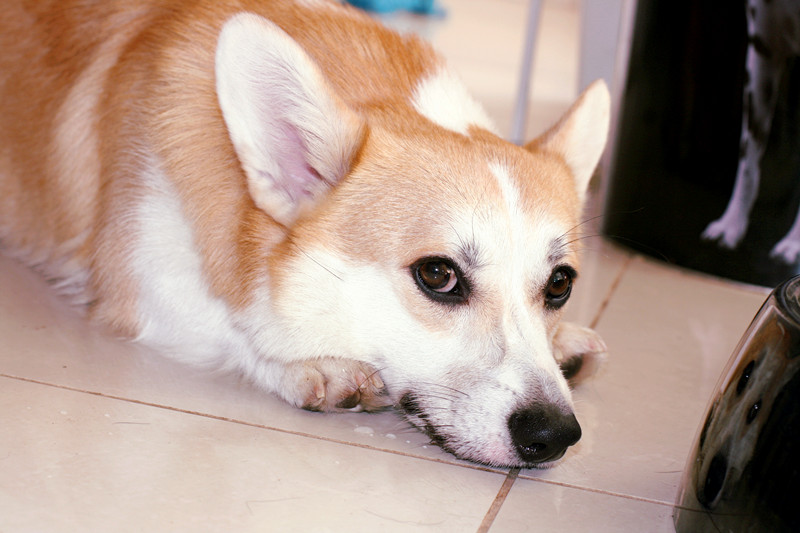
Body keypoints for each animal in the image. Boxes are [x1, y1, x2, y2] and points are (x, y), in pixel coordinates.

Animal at [0, 0, 609, 468]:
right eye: (438, 275)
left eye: (560, 285)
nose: (555, 435)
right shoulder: (141, 282)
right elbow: (238, 328)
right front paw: (313, 367)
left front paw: (565, 344)